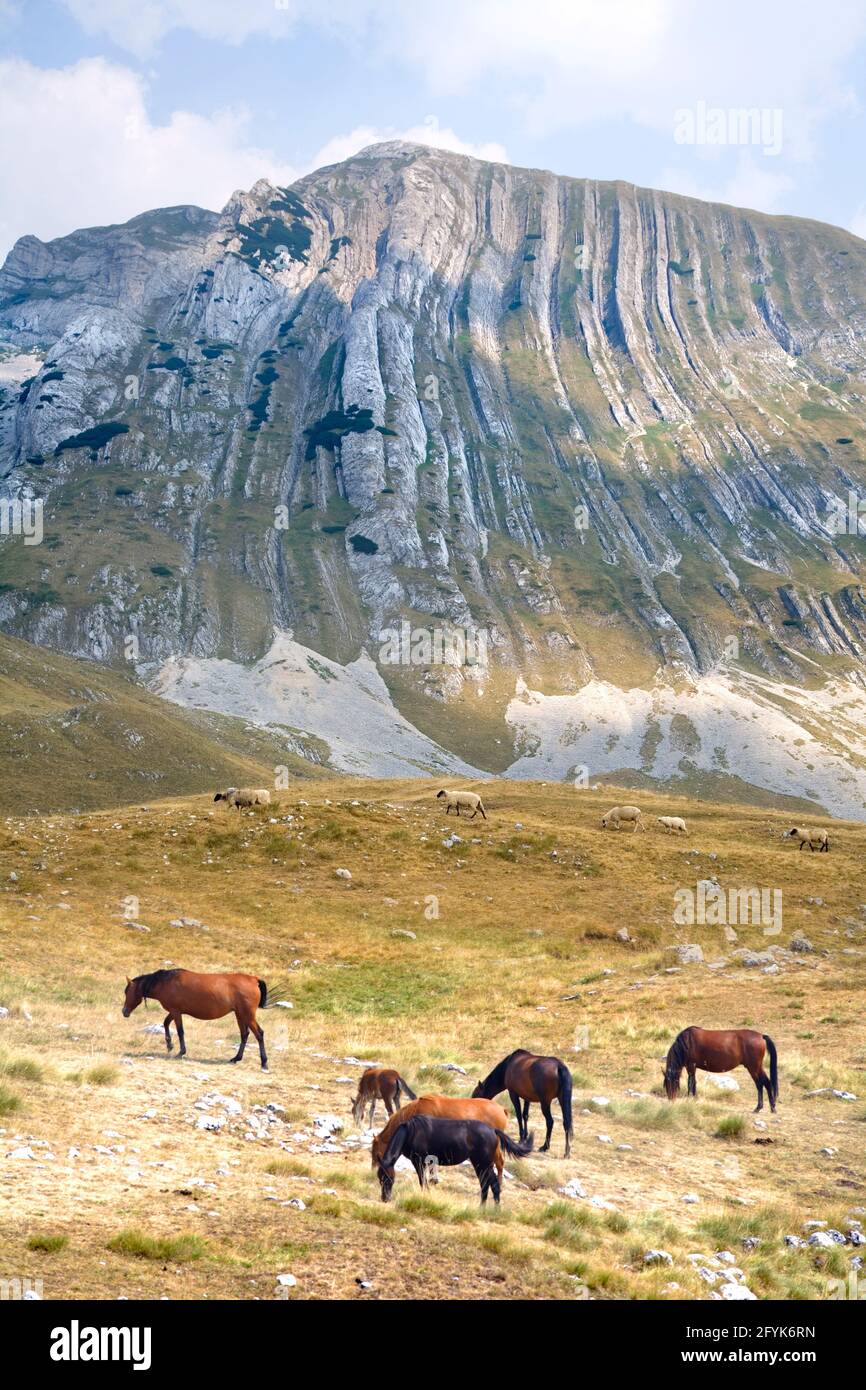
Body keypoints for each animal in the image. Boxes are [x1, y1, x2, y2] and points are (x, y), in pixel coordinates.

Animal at [119, 973, 268, 1067]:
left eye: (127, 992)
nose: (124, 1012)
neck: (166, 982)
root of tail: (254, 979)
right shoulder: (174, 1011)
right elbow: (166, 1023)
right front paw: (169, 1045)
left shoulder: (176, 1011)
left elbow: (180, 1031)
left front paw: (180, 1052)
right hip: (240, 1015)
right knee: (244, 1034)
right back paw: (236, 1058)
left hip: (247, 1015)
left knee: (259, 1034)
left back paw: (264, 1062)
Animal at [375, 1112, 530, 1200]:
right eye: (380, 1178)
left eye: (389, 1178)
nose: (385, 1198)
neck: (410, 1132)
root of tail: (493, 1130)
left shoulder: (418, 1161)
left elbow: (423, 1181)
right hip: (481, 1165)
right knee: (486, 1186)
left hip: (483, 1164)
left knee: (493, 1186)